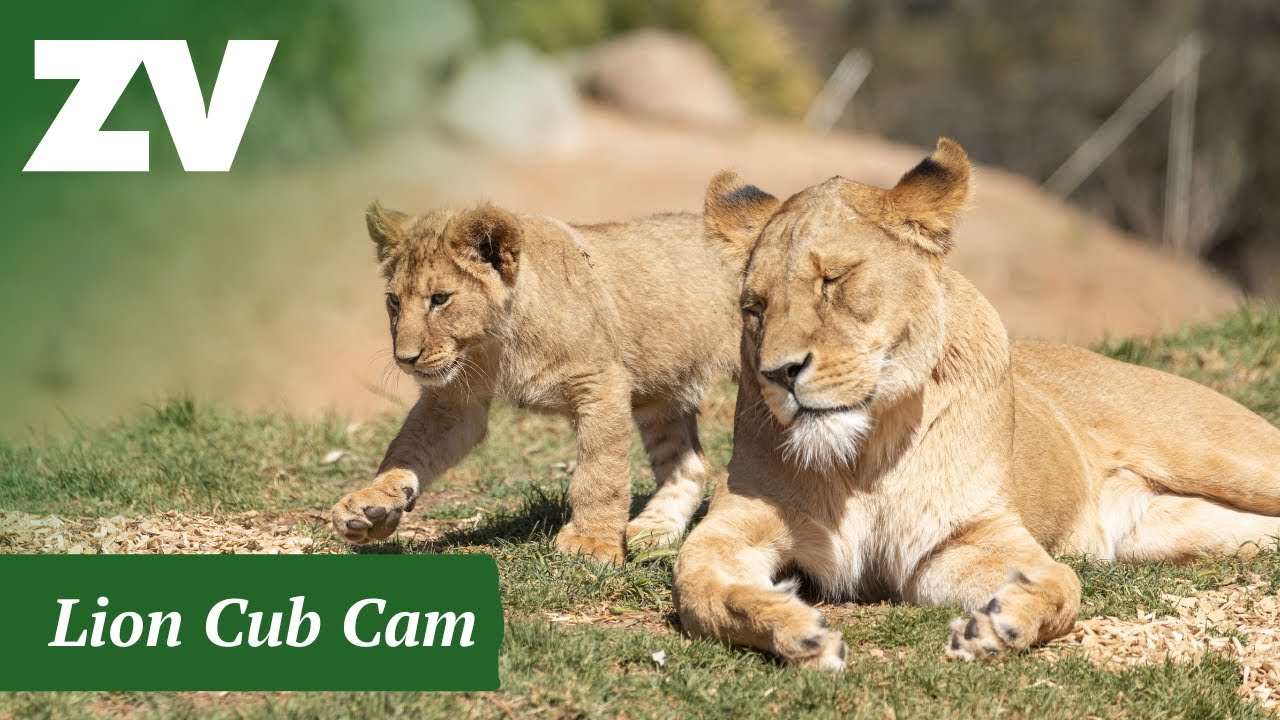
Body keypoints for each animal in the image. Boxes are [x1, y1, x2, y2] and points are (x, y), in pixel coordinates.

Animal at [330, 203, 743, 564]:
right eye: (394, 301)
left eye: (440, 299)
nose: (405, 358)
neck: (497, 343)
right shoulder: (453, 401)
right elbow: (407, 448)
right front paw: (371, 504)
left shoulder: (601, 383)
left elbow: (599, 472)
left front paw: (592, 542)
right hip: (662, 392)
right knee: (690, 465)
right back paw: (653, 531)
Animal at [672, 138, 1280, 669]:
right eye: (755, 308)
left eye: (833, 280)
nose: (779, 373)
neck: (863, 454)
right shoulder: (734, 526)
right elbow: (701, 588)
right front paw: (794, 628)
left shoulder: (967, 535)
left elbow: (1061, 583)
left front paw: (1000, 625)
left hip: (1223, 455)